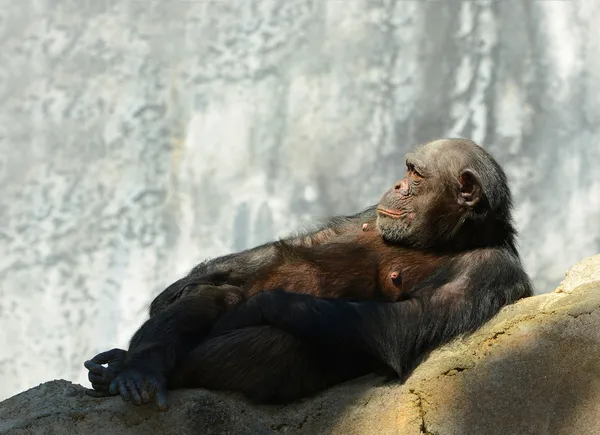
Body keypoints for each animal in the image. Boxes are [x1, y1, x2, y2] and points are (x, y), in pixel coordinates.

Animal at [83, 140, 528, 412]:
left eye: (416, 175)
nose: (398, 184)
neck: (445, 239)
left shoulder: (490, 272)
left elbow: (400, 325)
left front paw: (253, 307)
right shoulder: (371, 214)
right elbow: (312, 241)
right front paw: (179, 286)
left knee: (274, 343)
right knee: (208, 299)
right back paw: (136, 370)